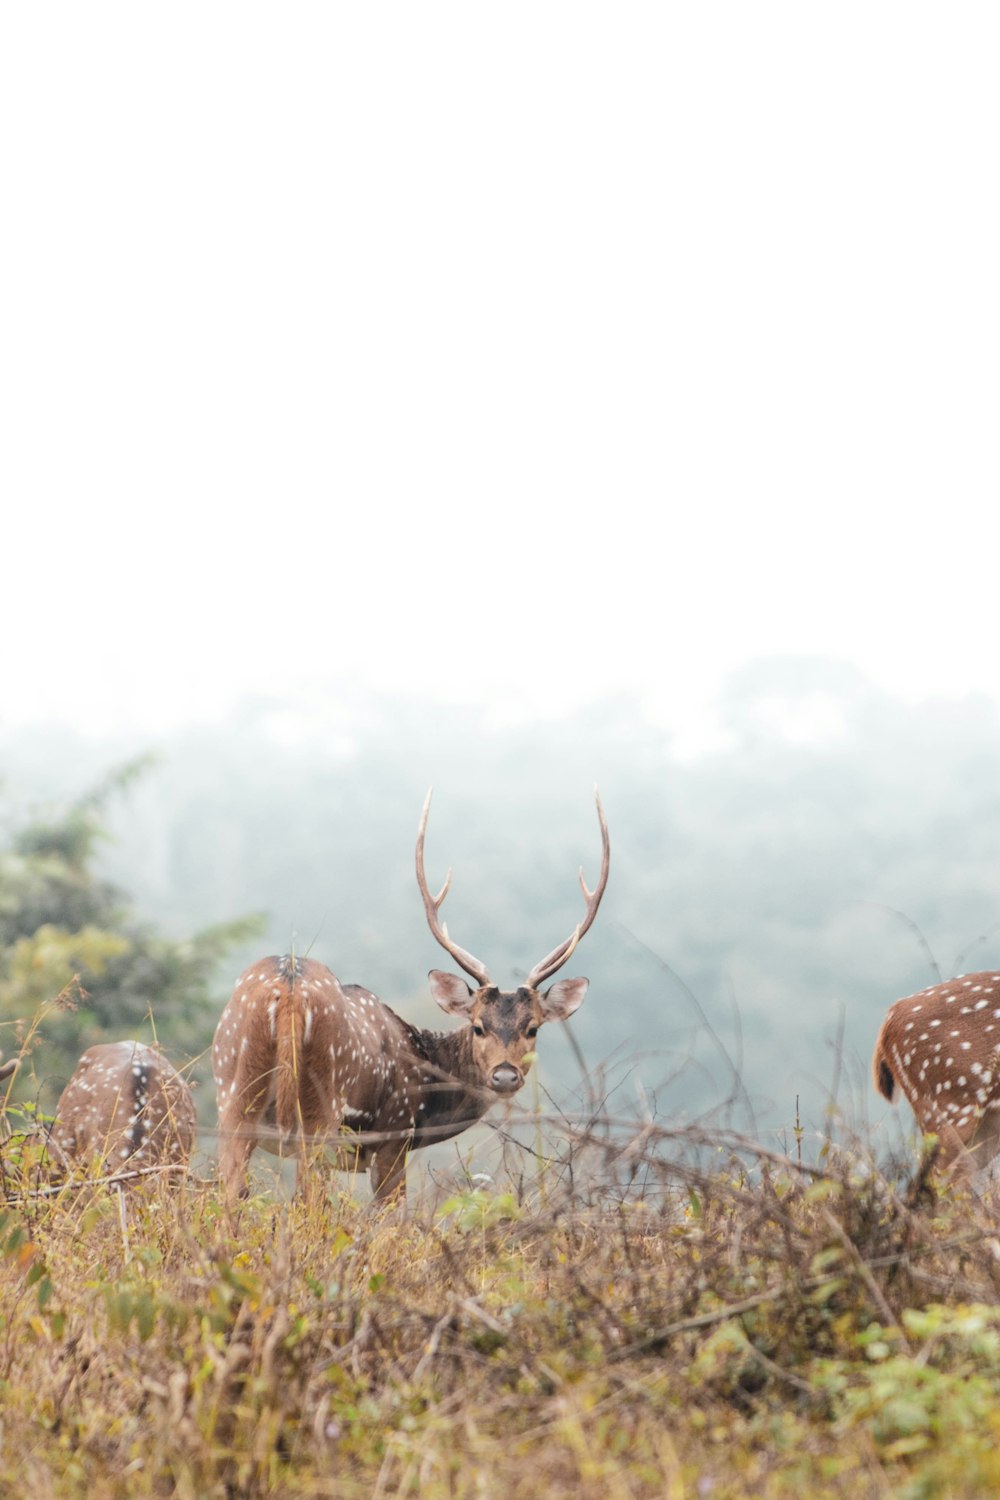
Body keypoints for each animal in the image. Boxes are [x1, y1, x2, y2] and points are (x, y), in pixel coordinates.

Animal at [212, 792, 611, 1200]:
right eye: (478, 1026)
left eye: (532, 1028)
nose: (504, 1076)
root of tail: (288, 992)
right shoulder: (394, 1133)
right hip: (320, 1108)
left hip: (232, 1088)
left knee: (232, 1186)